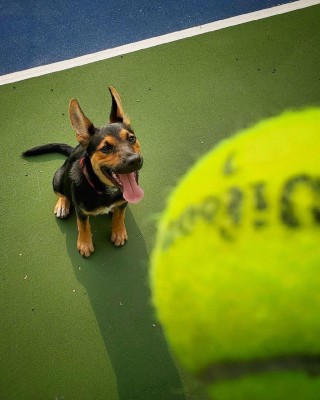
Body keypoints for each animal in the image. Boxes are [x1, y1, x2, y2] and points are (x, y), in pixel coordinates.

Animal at [24, 86, 144, 258]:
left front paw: (119, 232)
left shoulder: (122, 202)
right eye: (105, 148)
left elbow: (120, 215)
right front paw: (85, 243)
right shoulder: (81, 211)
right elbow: (83, 226)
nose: (135, 160)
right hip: (57, 178)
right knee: (62, 193)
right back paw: (62, 205)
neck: (103, 190)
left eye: (131, 139)